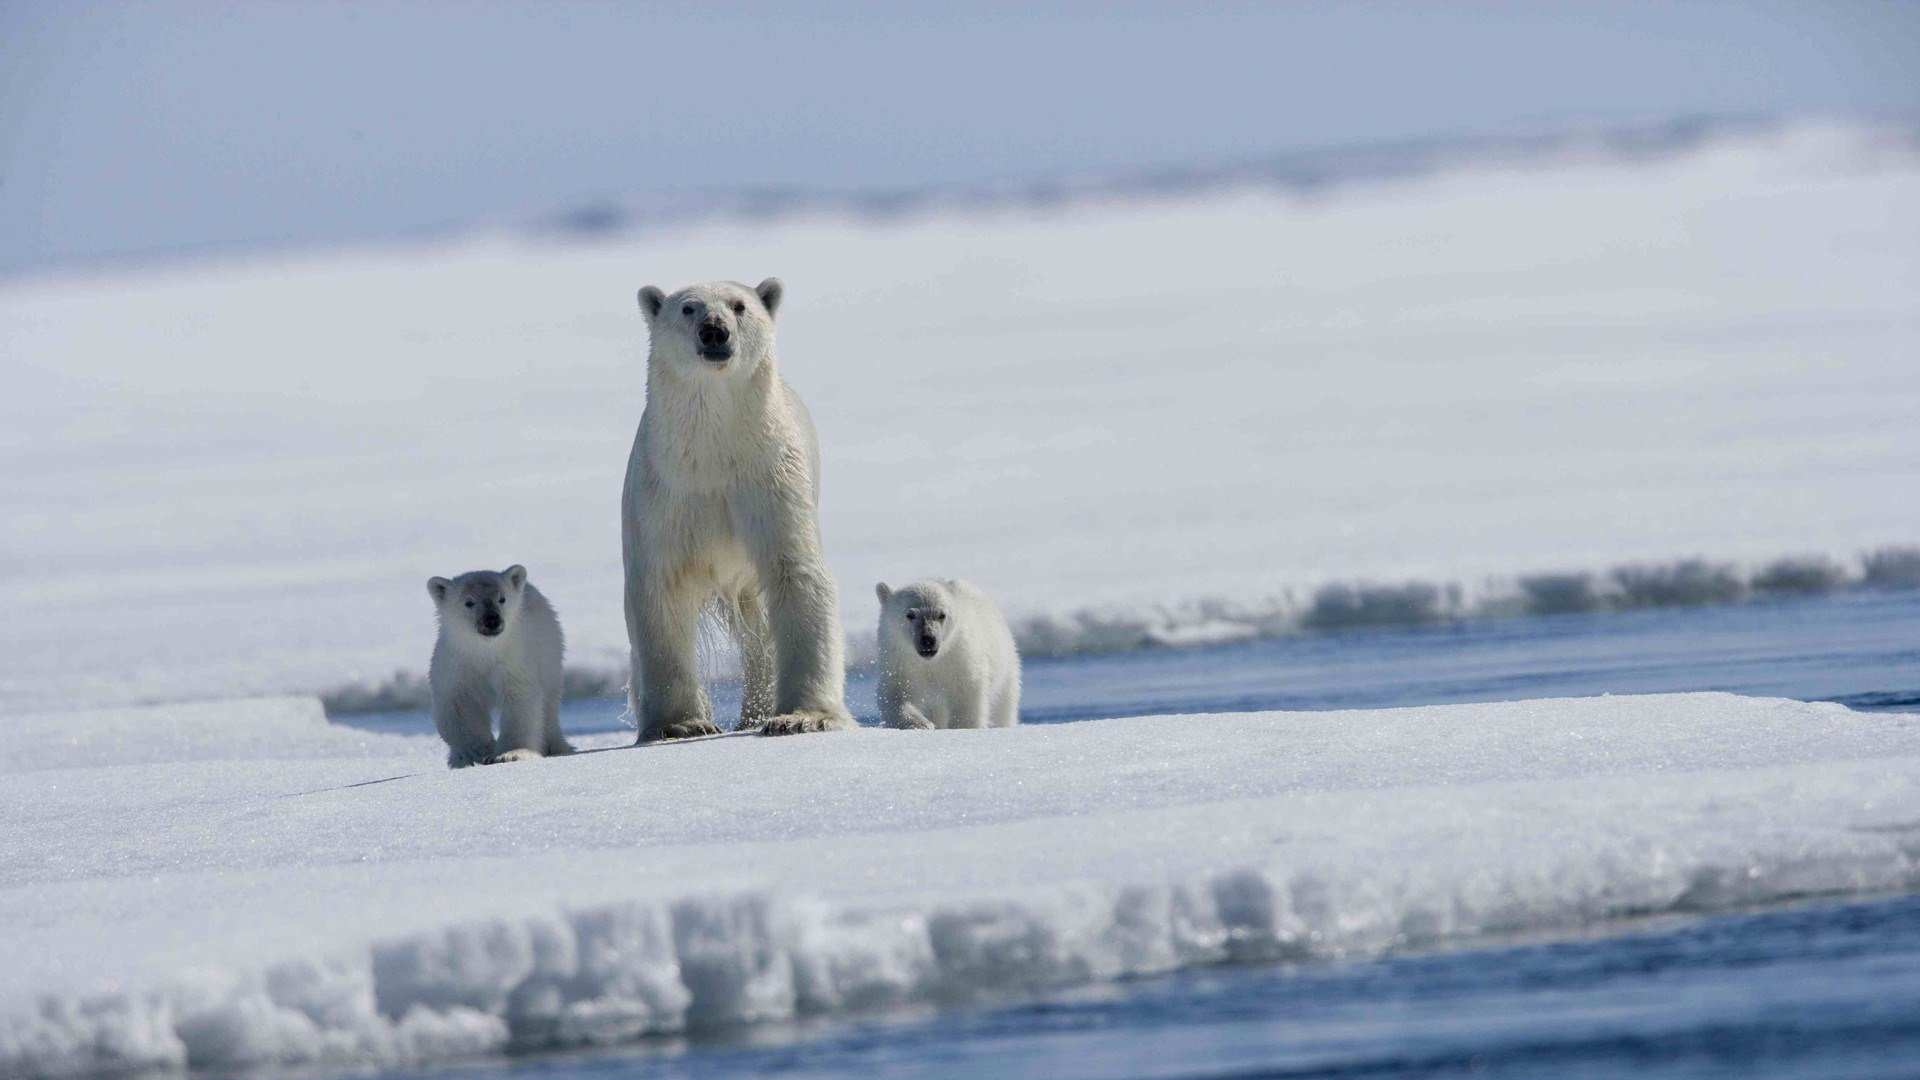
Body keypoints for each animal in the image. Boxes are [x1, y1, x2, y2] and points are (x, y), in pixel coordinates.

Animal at [426, 564, 573, 767]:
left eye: (502, 598)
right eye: (469, 602)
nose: (492, 620)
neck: (485, 651)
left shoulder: (514, 662)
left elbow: (519, 701)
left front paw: (510, 754)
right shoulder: (455, 665)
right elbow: (457, 705)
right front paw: (479, 749)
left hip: (549, 654)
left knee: (549, 704)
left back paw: (556, 747)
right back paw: (458, 760)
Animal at [622, 277, 856, 741]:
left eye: (739, 306)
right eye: (688, 308)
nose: (714, 331)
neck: (713, 452)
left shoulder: (770, 478)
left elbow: (797, 573)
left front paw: (802, 717)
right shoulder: (663, 494)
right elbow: (660, 588)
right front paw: (680, 724)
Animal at [875, 578, 1022, 729]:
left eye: (941, 615)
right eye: (910, 615)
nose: (928, 639)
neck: (931, 662)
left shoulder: (960, 657)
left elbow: (967, 694)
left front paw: (961, 727)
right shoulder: (899, 660)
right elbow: (894, 693)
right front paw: (922, 724)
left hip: (1005, 669)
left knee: (1004, 707)